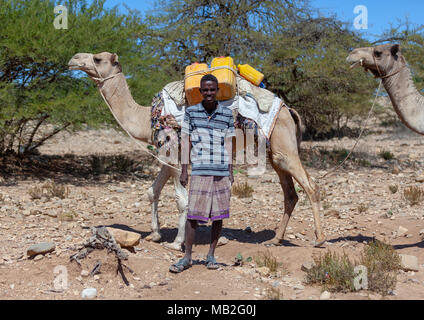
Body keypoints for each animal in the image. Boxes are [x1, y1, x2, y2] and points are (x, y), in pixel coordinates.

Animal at [68, 52, 324, 250]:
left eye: (98, 58)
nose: (73, 59)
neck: (144, 118)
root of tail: (288, 109)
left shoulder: (173, 150)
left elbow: (181, 200)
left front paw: (176, 242)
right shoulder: (167, 156)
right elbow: (152, 191)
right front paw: (155, 234)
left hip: (284, 146)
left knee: (310, 186)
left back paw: (319, 239)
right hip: (274, 152)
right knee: (290, 193)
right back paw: (275, 239)